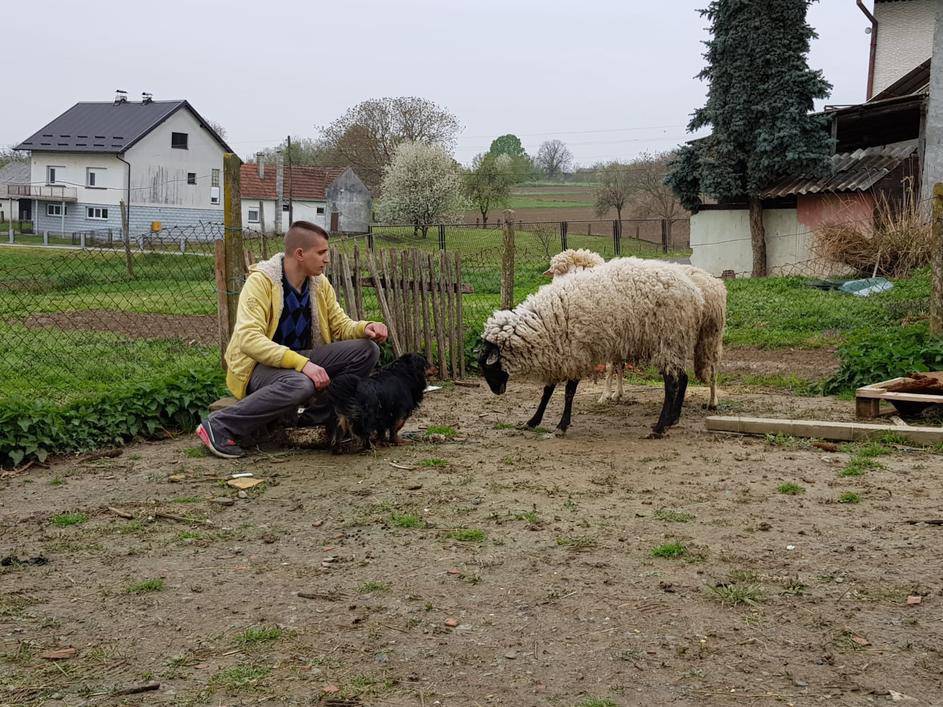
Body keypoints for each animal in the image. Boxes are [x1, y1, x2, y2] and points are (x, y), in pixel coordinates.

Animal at [484, 258, 704, 436]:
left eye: (487, 365)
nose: (497, 391)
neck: (547, 320)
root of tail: (695, 294)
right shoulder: (561, 353)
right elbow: (547, 391)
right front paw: (533, 421)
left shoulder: (577, 353)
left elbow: (569, 391)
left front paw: (562, 425)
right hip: (675, 343)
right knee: (682, 378)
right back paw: (673, 419)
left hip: (667, 339)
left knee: (671, 384)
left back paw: (659, 427)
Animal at [544, 252, 732, 412]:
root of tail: (714, 282)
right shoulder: (620, 337)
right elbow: (619, 366)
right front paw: (617, 393)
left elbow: (610, 367)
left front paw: (605, 395)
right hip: (699, 335)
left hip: (703, 335)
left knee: (711, 367)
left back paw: (711, 401)